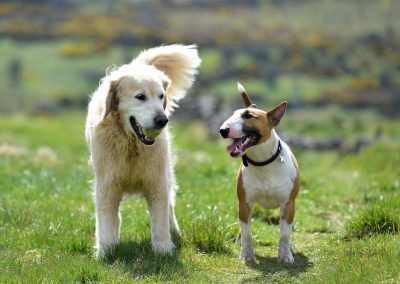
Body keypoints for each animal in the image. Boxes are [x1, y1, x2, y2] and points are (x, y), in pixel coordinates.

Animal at [86, 44, 202, 258]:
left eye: (161, 96)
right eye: (140, 97)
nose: (162, 120)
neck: (131, 144)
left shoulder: (156, 181)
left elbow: (160, 220)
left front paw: (163, 250)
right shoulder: (108, 184)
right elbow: (106, 220)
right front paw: (105, 251)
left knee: (170, 208)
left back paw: (175, 233)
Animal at [219, 83, 300, 262]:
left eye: (249, 116)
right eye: (231, 115)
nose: (222, 130)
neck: (262, 163)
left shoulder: (288, 204)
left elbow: (285, 234)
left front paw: (285, 256)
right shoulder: (244, 203)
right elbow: (247, 232)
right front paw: (247, 255)